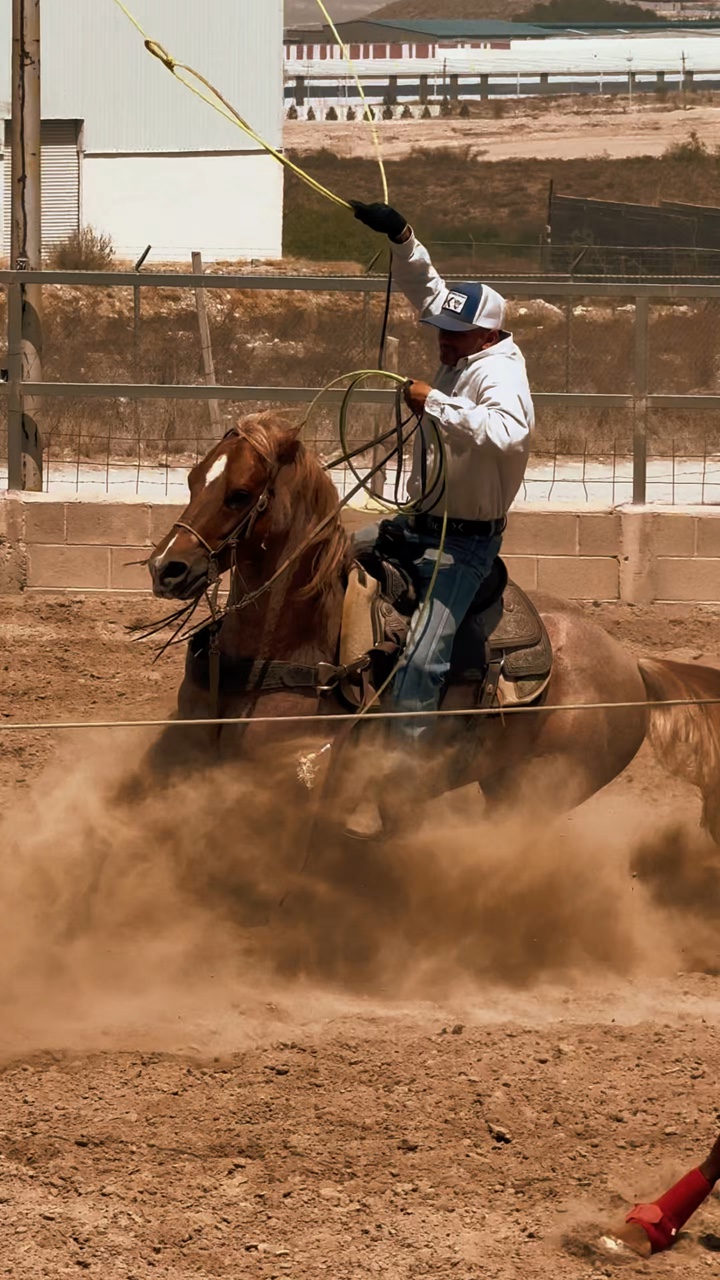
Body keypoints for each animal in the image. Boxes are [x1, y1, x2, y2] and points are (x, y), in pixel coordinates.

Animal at [145, 412, 720, 841]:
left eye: (240, 493)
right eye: (194, 479)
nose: (166, 568)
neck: (293, 643)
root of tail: (631, 662)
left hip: (542, 787)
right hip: (503, 781)